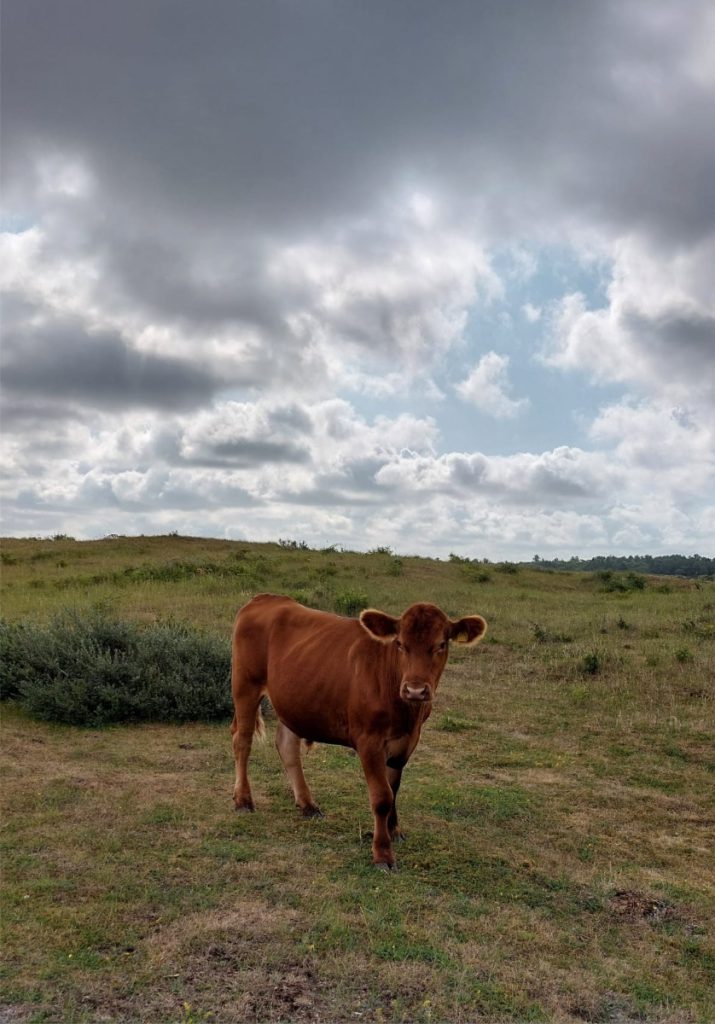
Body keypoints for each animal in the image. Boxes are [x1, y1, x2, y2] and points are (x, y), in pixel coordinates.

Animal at [228, 598, 485, 868]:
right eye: (400, 644)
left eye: (441, 644)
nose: (415, 690)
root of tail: (265, 598)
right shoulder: (369, 741)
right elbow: (382, 797)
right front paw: (382, 853)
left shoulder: (407, 741)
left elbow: (394, 788)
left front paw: (393, 830)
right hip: (245, 686)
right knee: (242, 741)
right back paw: (243, 799)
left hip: (292, 701)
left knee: (287, 746)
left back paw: (308, 804)